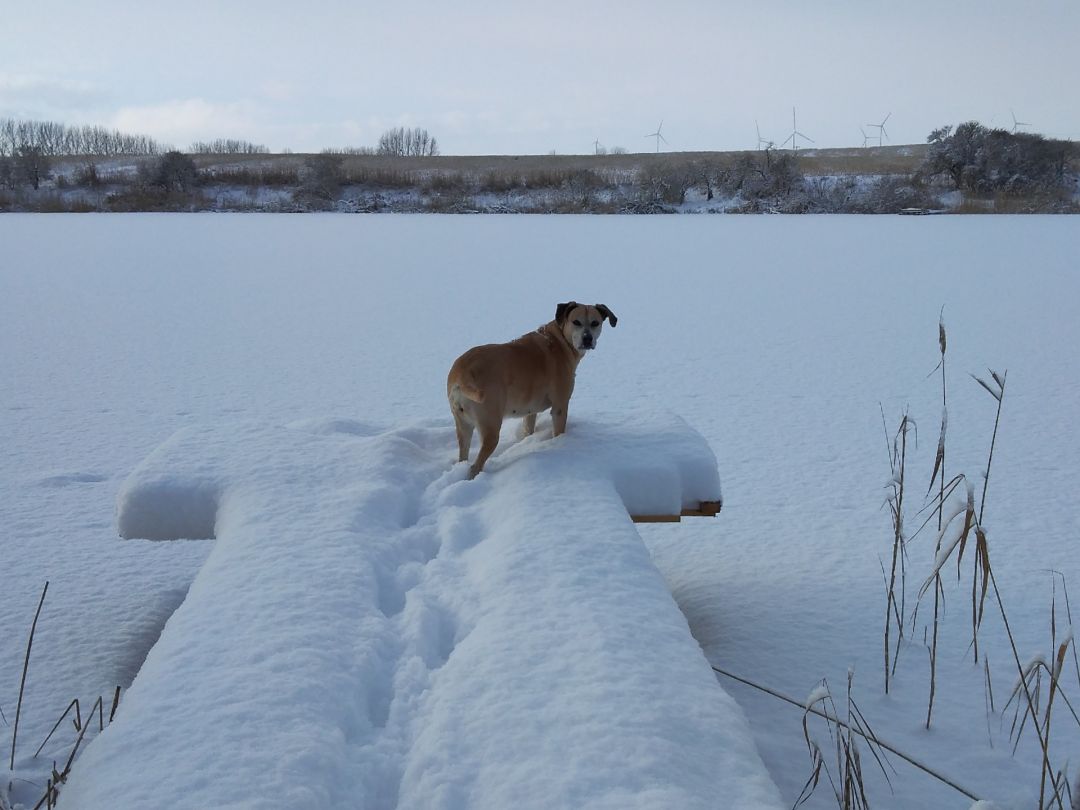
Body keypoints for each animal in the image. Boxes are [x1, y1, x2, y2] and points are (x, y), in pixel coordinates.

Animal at [447, 304, 617, 481]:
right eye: (576, 321)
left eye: (595, 323)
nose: (587, 339)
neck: (559, 340)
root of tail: (462, 375)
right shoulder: (560, 406)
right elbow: (559, 429)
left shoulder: (530, 411)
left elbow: (528, 429)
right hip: (490, 426)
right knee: (476, 464)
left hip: (462, 423)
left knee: (463, 453)